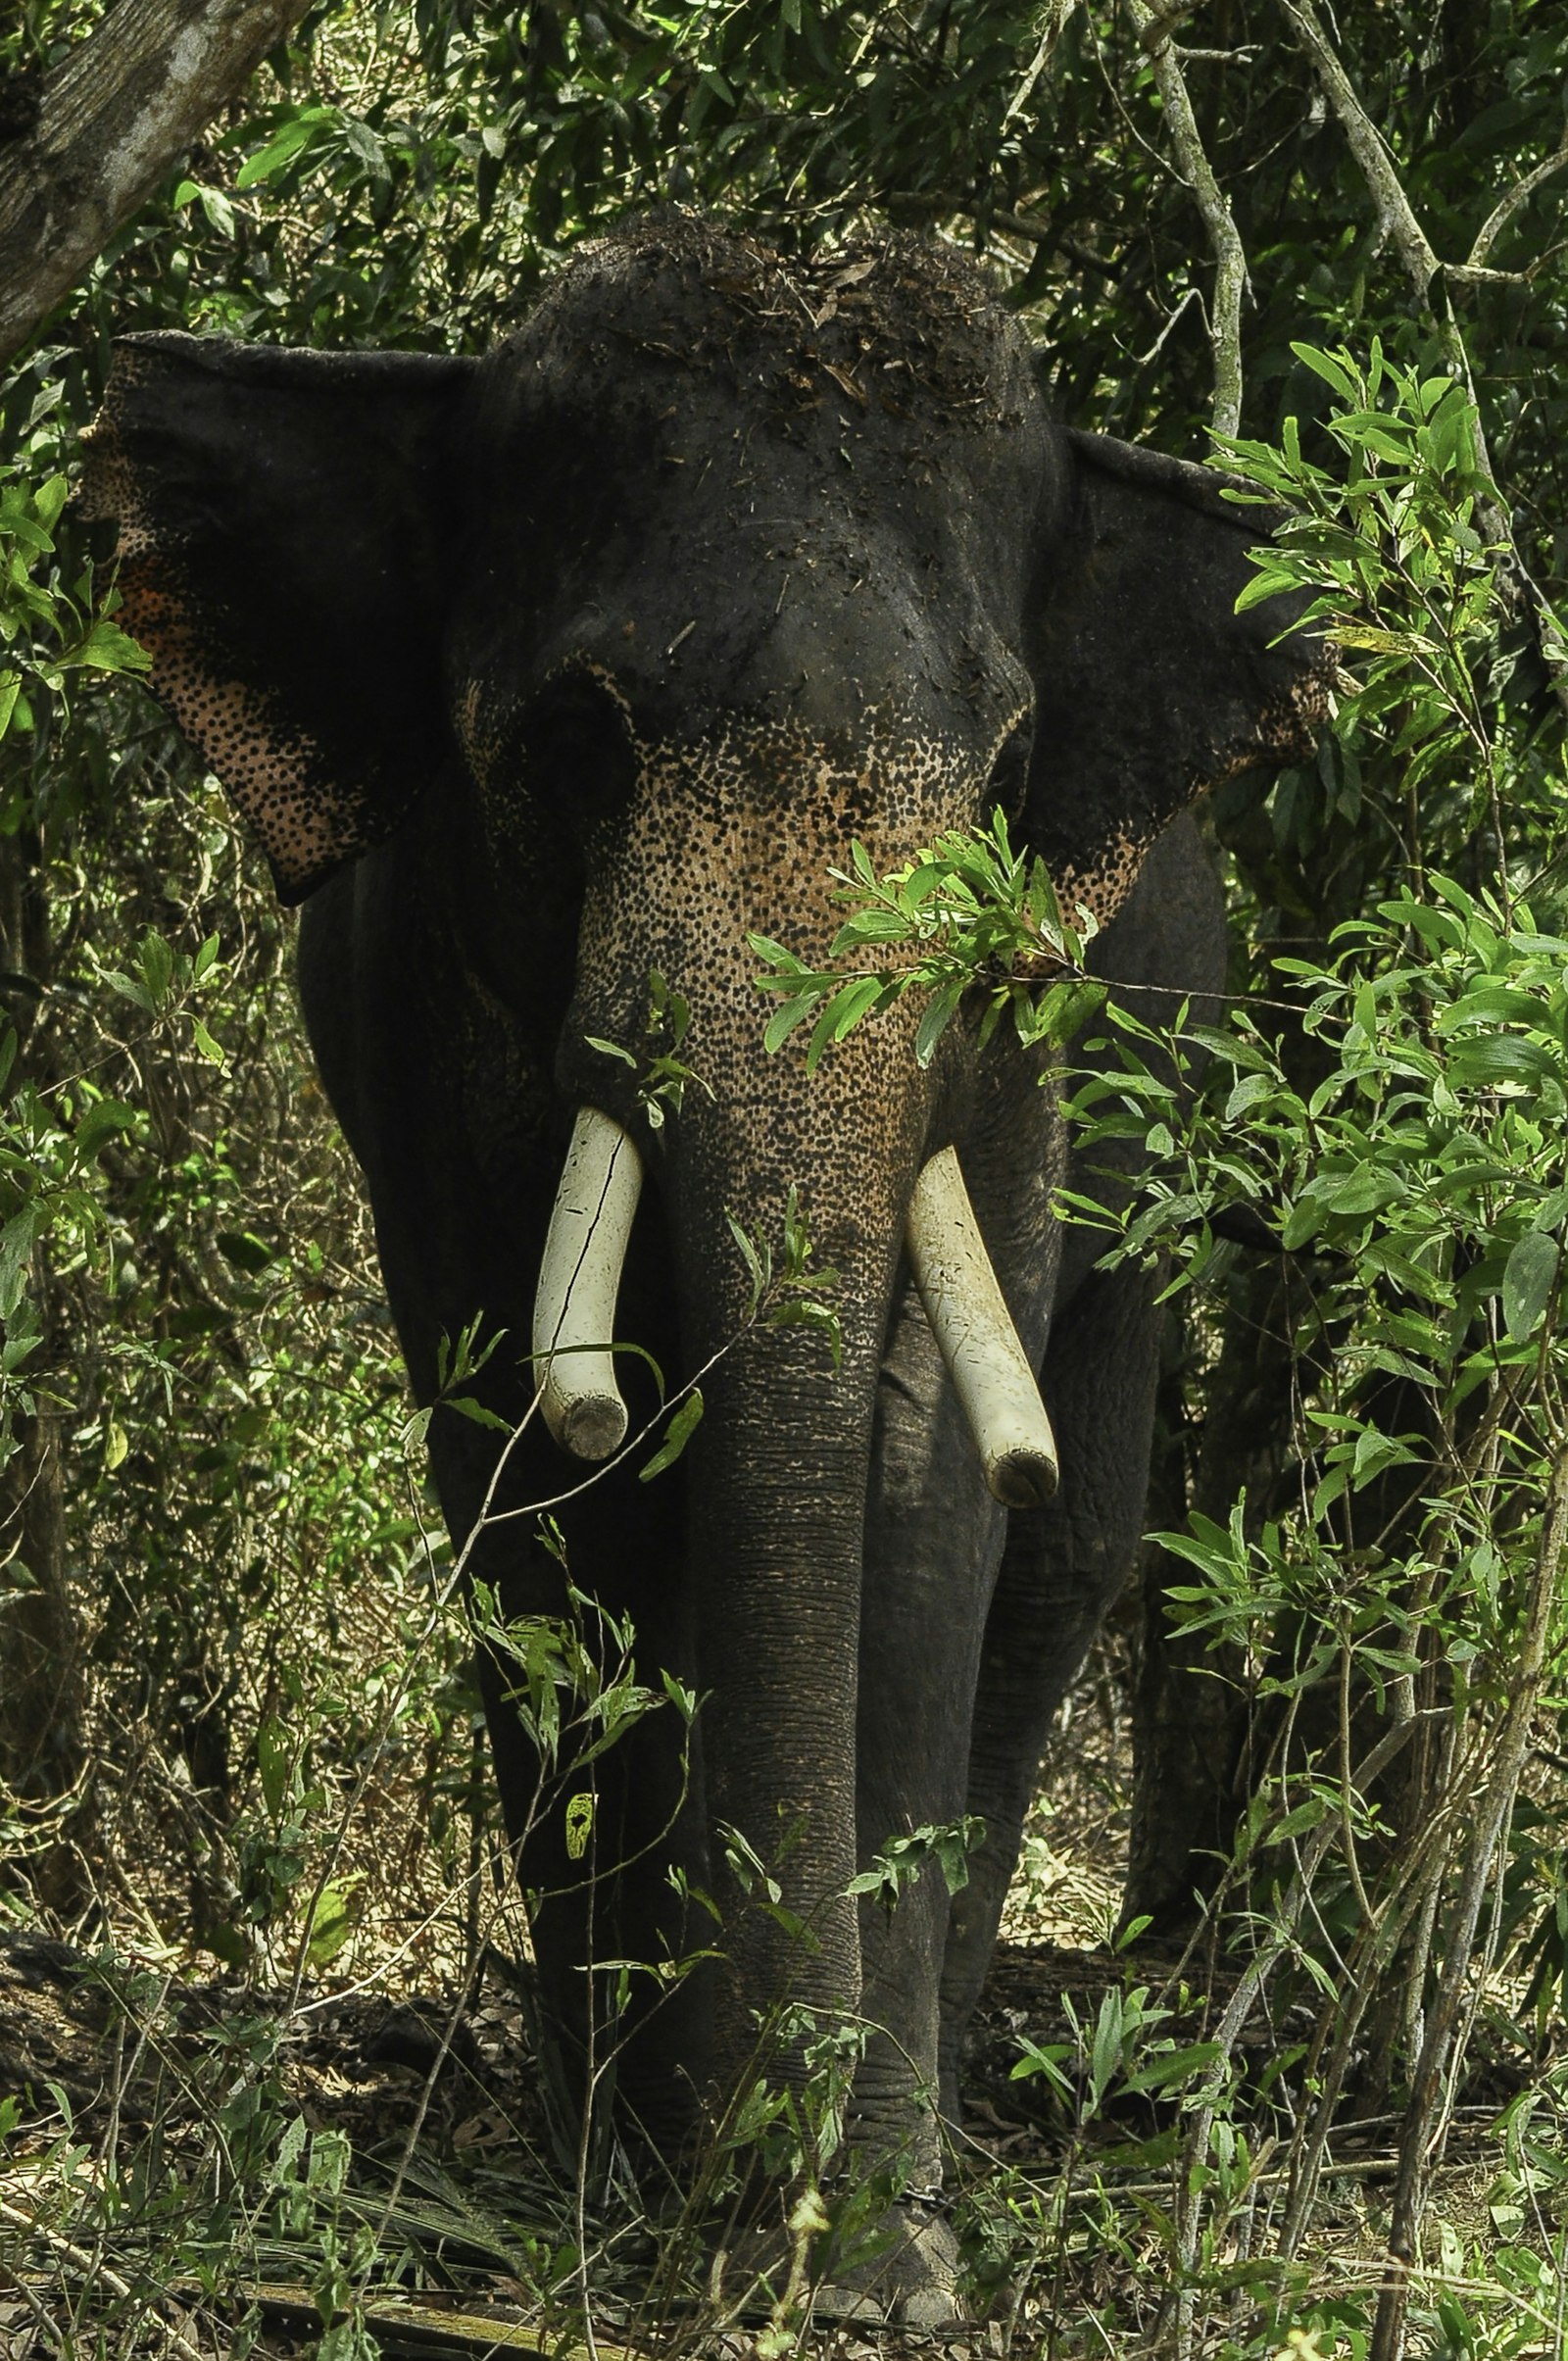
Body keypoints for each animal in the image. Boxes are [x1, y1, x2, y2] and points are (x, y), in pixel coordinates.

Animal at [82, 215, 1328, 2317]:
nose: (788, 2212)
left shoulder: (1026, 1037)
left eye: (1007, 767)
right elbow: (524, 1477)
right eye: (576, 738)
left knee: (1069, 1548)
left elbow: (923, 1483)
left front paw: (881, 2262)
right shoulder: (423, 1003)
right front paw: (640, 2179)